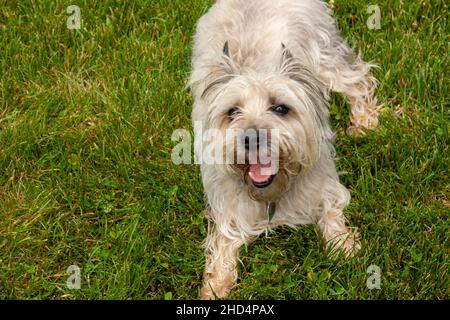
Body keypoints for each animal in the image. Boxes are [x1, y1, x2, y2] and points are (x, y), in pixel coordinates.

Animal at [187, 0, 380, 300]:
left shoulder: (323, 183)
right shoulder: (228, 207)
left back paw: (365, 121)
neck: (271, 193)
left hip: (327, 59)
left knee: (357, 79)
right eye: (232, 112)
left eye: (280, 108)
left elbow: (332, 211)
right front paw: (215, 287)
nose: (251, 138)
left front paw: (344, 248)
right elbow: (223, 246)